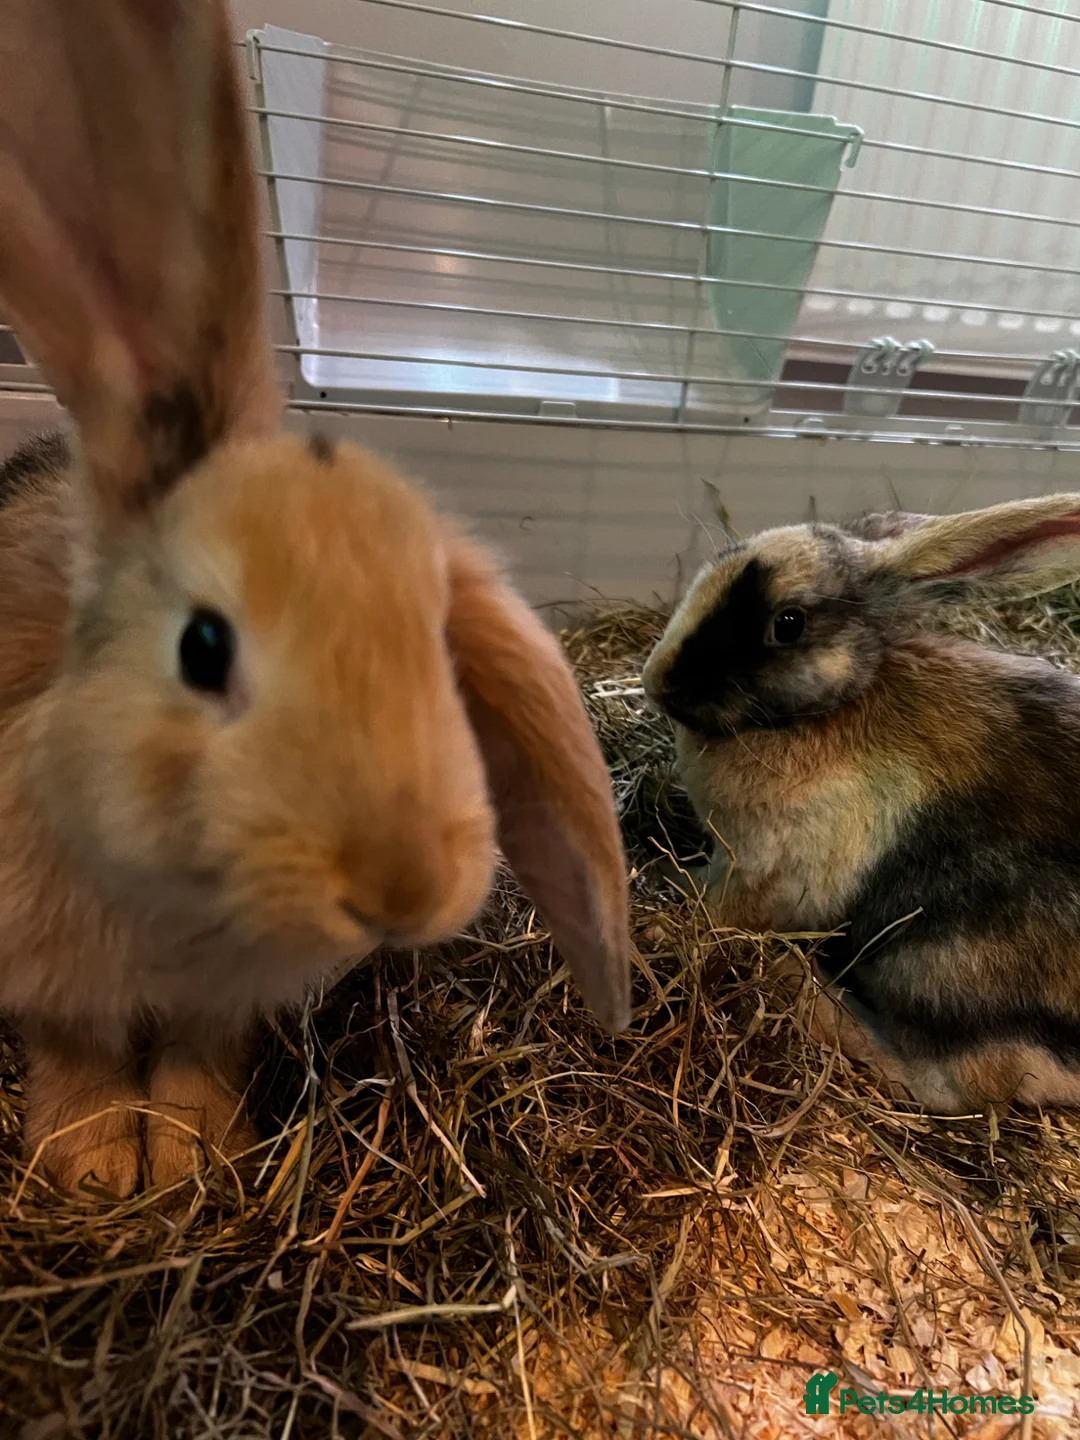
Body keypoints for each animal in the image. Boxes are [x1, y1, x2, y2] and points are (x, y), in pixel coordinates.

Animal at [0, 0, 630, 1198]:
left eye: (437, 656)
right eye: (204, 648)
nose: (401, 886)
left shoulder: (224, 999)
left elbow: (199, 1050)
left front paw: (193, 1155)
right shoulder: (46, 970)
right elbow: (79, 1047)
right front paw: (95, 1170)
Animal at [642, 495, 1080, 1114]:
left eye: (788, 623)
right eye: (726, 556)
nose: (657, 682)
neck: (825, 712)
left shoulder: (757, 874)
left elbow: (709, 905)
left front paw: (656, 914)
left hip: (938, 961)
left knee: (953, 1085)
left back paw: (807, 989)